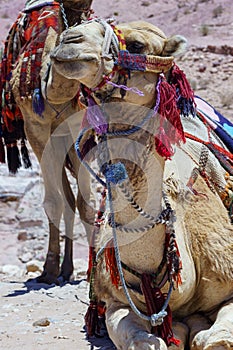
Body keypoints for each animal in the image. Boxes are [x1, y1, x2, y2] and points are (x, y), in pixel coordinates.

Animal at [0, 0, 95, 284]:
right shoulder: (36, 130)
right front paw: (49, 269)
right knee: (64, 199)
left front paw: (93, 271)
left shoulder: (79, 128)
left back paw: (70, 268)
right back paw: (62, 269)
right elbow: (53, 202)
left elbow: (85, 204)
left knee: (72, 201)